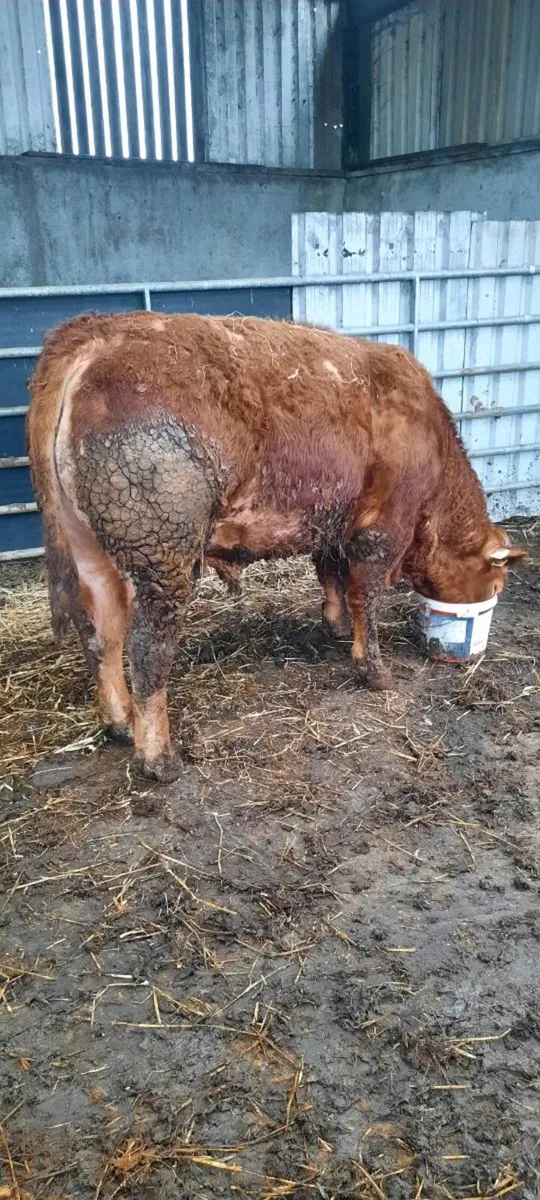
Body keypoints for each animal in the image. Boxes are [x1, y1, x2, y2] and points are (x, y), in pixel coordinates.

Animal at [27, 312, 525, 782]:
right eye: (497, 581)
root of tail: (95, 333)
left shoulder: (333, 524)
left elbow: (330, 574)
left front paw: (335, 625)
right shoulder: (382, 527)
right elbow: (365, 596)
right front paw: (375, 671)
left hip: (89, 549)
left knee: (100, 633)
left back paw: (119, 722)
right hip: (160, 550)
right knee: (147, 649)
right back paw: (158, 758)